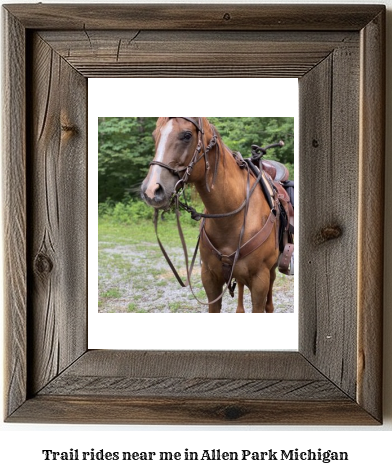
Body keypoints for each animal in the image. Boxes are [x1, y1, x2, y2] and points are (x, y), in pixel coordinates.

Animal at [141, 116, 282, 312]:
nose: (151, 191)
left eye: (187, 135)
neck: (230, 219)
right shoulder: (209, 279)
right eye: (155, 135)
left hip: (270, 273)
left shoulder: (260, 281)